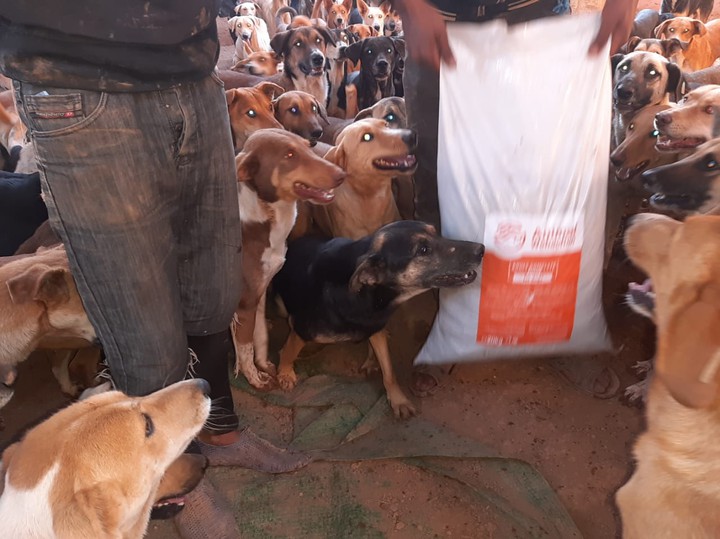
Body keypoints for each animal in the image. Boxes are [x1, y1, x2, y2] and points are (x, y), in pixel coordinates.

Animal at [230, 129, 345, 389]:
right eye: (289, 155)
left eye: (307, 146)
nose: (342, 175)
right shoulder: (245, 303)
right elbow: (245, 348)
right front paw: (255, 379)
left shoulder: (262, 291)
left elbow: (261, 333)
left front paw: (264, 365)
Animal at [273, 220, 484, 418]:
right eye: (423, 249)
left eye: (437, 232)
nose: (481, 249)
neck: (369, 296)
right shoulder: (302, 328)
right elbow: (289, 351)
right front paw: (285, 373)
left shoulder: (374, 326)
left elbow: (389, 371)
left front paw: (398, 400)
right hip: (281, 307)